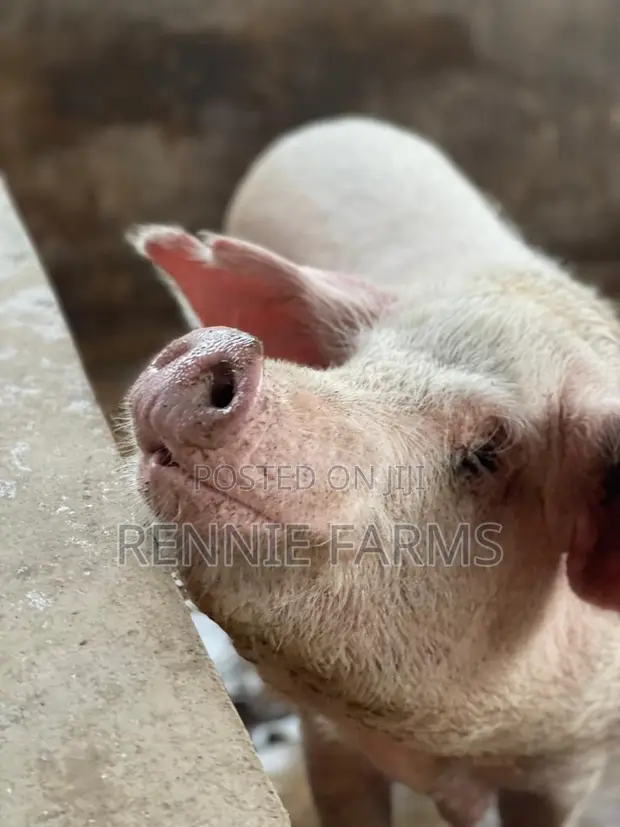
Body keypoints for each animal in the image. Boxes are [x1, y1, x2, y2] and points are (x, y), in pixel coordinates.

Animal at [123, 116, 620, 827]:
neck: (437, 746)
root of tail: (329, 126)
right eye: (354, 364)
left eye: (489, 450)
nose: (216, 345)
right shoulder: (322, 732)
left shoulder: (568, 765)